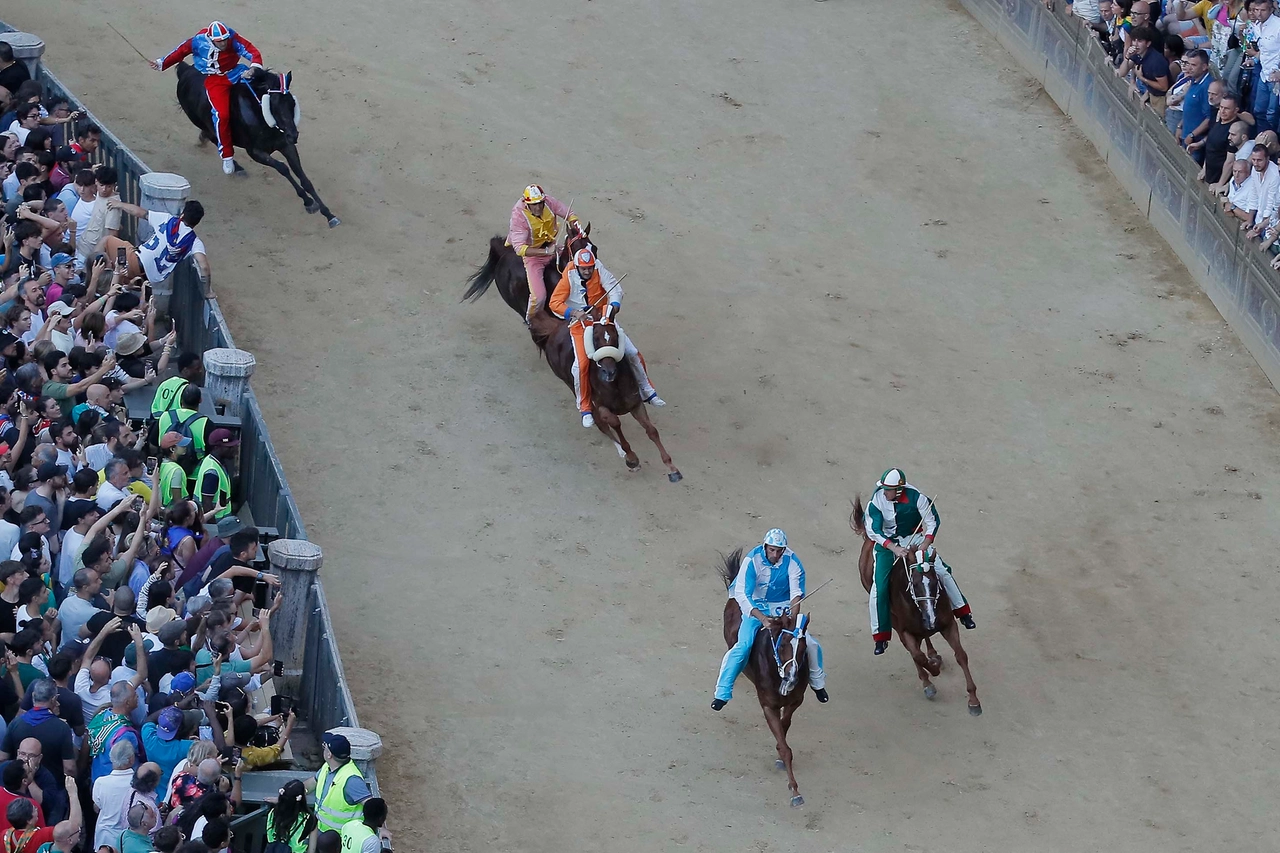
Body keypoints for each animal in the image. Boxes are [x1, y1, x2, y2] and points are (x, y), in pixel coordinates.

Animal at [524, 308, 680, 479]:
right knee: (599, 422)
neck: (615, 385)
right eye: (595, 337)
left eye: (615, 336)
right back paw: (621, 452)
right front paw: (631, 458)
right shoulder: (602, 407)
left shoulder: (636, 404)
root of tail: (554, 329)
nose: (609, 371)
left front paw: (672, 468)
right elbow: (614, 423)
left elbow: (651, 431)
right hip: (571, 385)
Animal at [721, 545, 808, 804]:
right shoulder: (768, 705)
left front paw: (779, 755)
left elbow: (785, 727)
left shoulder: (795, 700)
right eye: (783, 645)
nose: (791, 677)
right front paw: (795, 792)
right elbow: (784, 743)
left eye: (803, 647)